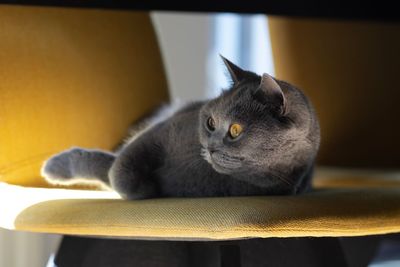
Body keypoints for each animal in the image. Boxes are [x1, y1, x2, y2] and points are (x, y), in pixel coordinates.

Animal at [42, 57, 320, 200]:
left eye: (235, 130)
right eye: (210, 122)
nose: (210, 147)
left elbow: (110, 170)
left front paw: (145, 190)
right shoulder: (160, 133)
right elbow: (120, 165)